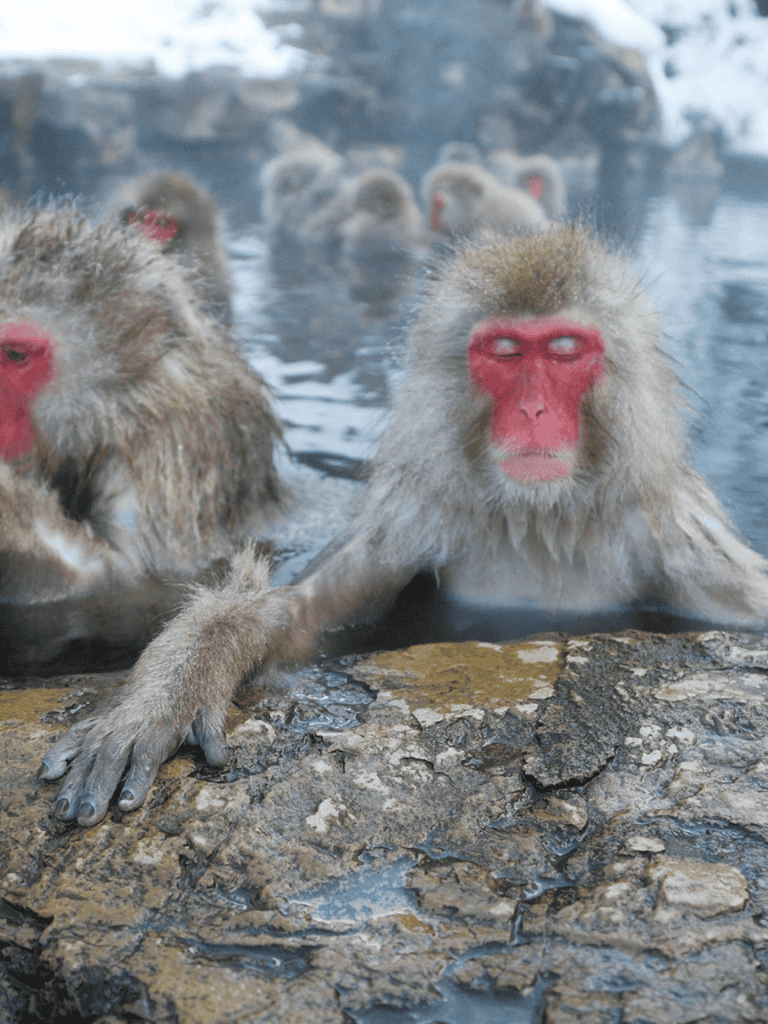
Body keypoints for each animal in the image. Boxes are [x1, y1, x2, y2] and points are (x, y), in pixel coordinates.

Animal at [40, 224, 768, 826]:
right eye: (506, 352)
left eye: (564, 351)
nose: (533, 410)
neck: (542, 516)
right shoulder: (419, 514)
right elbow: (297, 617)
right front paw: (168, 691)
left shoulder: (676, 537)